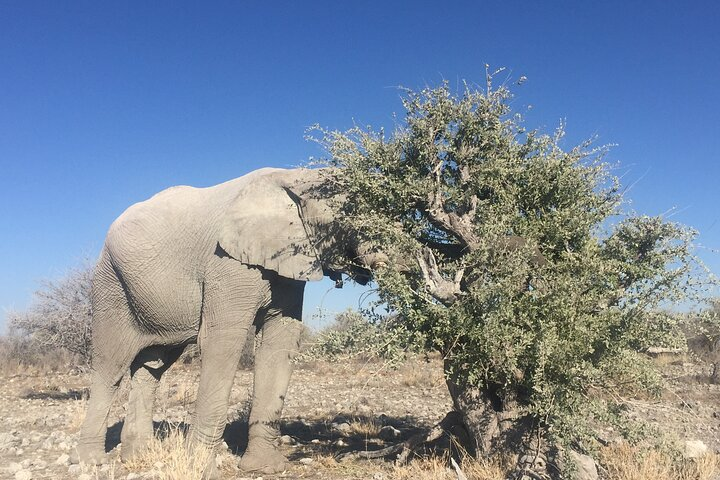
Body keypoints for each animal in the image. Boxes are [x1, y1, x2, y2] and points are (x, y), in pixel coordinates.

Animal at [74, 167, 380, 474]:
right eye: (348, 214)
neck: (290, 177)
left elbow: (279, 344)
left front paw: (264, 468)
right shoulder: (226, 263)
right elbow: (222, 341)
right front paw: (201, 468)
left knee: (152, 367)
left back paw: (137, 456)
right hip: (111, 284)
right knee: (110, 367)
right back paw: (92, 461)